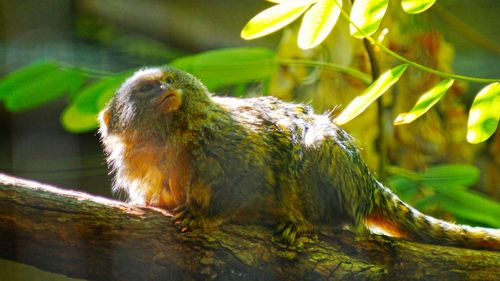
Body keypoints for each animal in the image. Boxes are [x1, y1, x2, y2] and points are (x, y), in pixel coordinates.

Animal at [98, 66, 500, 249]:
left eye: (172, 80)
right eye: (149, 88)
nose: (166, 90)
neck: (172, 138)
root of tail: (367, 183)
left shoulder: (233, 145)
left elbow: (249, 180)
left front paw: (205, 215)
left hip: (339, 177)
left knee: (318, 150)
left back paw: (312, 223)